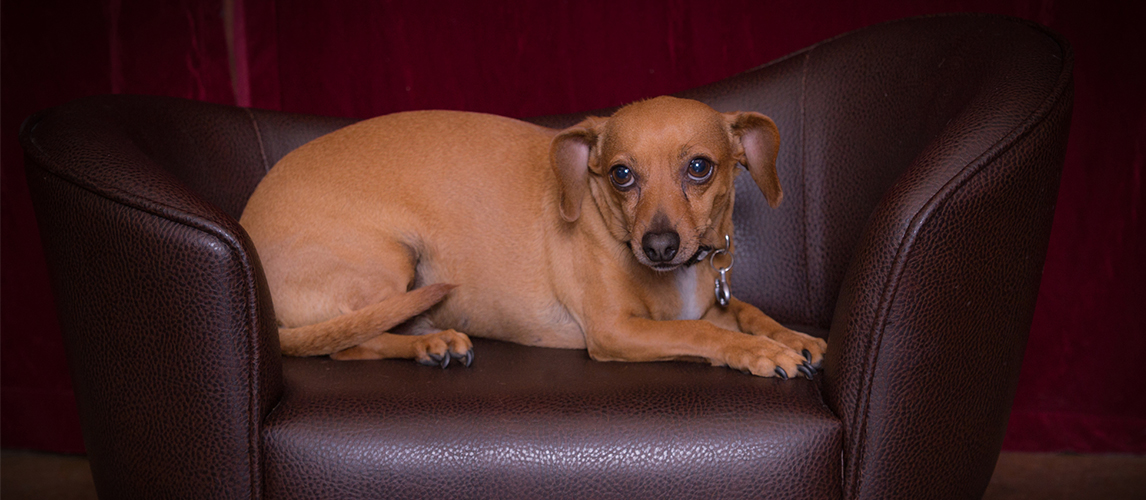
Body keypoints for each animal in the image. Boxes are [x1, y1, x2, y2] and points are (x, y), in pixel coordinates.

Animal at [241, 95, 829, 378]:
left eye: (700, 168)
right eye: (621, 175)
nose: (658, 247)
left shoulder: (711, 301)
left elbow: (746, 311)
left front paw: (789, 336)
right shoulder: (614, 332)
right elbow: (704, 333)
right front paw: (759, 352)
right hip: (395, 259)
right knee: (348, 344)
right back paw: (433, 343)